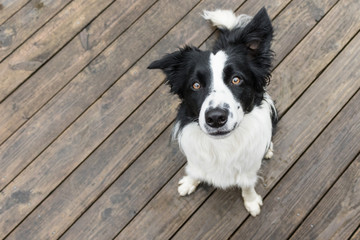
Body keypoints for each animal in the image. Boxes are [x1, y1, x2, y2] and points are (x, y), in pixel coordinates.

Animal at [148, 8, 278, 217]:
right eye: (195, 85)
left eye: (236, 79)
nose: (216, 118)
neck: (222, 146)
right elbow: (195, 169)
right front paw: (189, 182)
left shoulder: (249, 167)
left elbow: (247, 184)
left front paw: (251, 202)